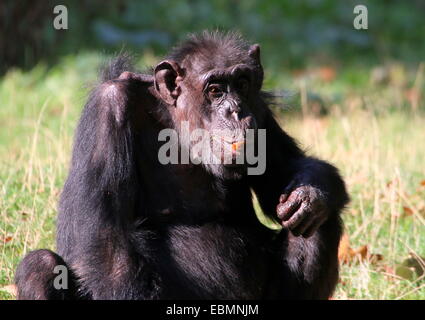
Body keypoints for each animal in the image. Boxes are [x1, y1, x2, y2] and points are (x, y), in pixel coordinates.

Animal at [15, 31, 348, 300]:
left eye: (242, 84)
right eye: (215, 90)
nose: (236, 110)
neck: (174, 122)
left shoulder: (261, 111)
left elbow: (287, 173)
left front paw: (309, 195)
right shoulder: (106, 109)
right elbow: (106, 244)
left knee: (319, 222)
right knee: (40, 266)